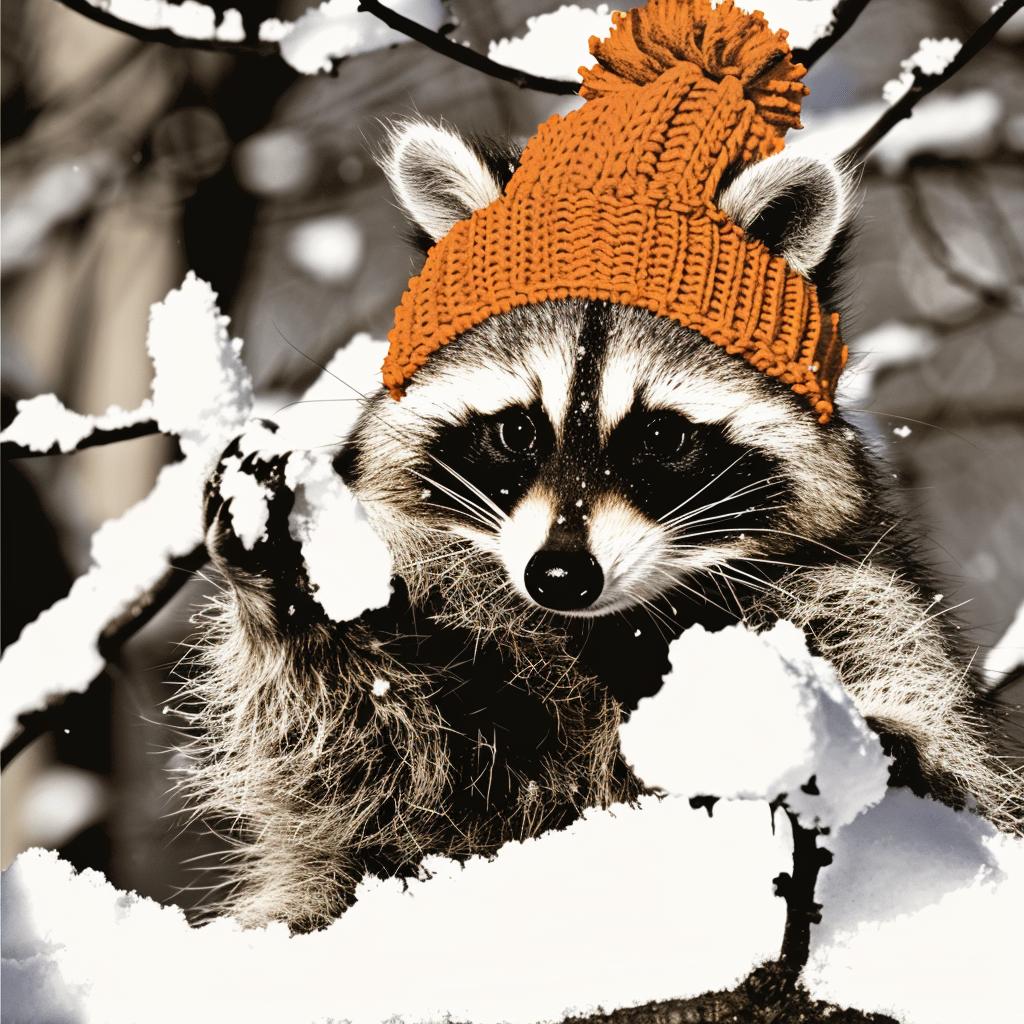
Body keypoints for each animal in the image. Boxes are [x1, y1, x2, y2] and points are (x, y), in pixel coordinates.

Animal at [183, 120, 1019, 932]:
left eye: (664, 438)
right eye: (517, 430)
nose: (560, 576)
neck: (621, 622)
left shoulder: (851, 594)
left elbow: (938, 737)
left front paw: (885, 755)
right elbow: (374, 768)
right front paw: (292, 578)